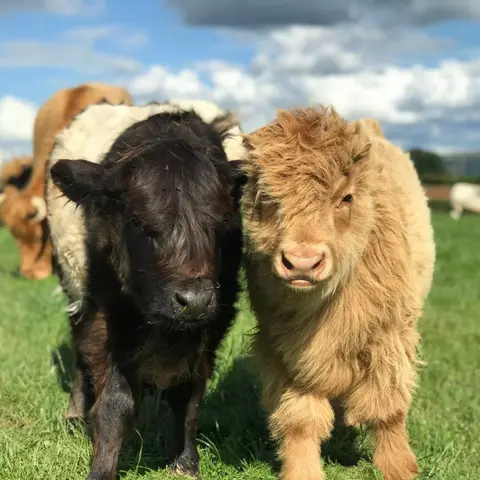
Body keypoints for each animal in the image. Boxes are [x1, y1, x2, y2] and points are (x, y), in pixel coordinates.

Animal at [240, 106, 436, 480]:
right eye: (268, 198)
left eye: (345, 197)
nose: (302, 262)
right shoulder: (284, 350)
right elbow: (300, 419)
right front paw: (302, 472)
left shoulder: (390, 338)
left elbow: (387, 409)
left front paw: (399, 467)